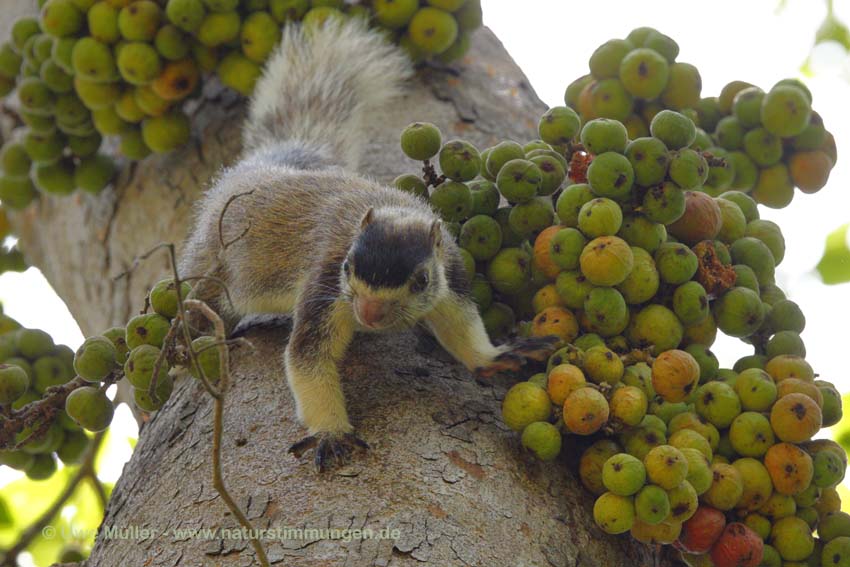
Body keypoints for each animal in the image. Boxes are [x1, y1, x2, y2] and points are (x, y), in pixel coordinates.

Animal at [181, 17, 556, 472]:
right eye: (347, 267)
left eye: (421, 280)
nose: (369, 313)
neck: (394, 210)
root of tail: (254, 174)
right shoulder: (325, 287)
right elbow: (308, 359)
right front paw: (331, 431)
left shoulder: (451, 275)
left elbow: (461, 326)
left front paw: (492, 358)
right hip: (210, 263)